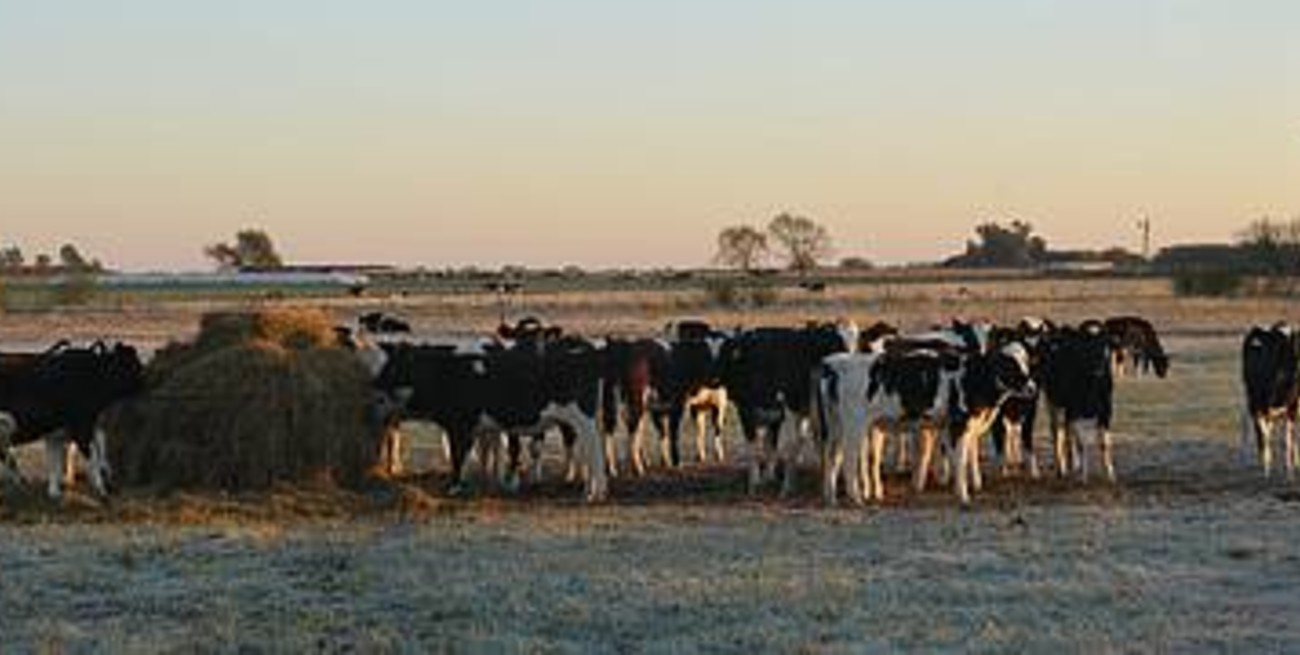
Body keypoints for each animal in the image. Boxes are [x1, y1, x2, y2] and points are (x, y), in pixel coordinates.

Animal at [0, 341, 145, 499]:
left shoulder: (57, 433)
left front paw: (54, 492)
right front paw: (102, 490)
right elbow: (92, 457)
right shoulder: (82, 428)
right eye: (131, 365)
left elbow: (54, 461)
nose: (145, 383)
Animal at [374, 335, 608, 501]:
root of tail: (583, 355)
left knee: (594, 450)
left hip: (583, 419)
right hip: (583, 421)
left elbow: (458, 455)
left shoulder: (459, 425)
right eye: (388, 362)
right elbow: (476, 453)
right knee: (590, 450)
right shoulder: (474, 427)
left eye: (395, 365)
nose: (375, 382)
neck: (447, 372)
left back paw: (594, 494)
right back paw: (592, 490)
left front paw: (454, 487)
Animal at [719, 320, 858, 496]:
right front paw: (785, 487)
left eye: (856, 340)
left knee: (770, 441)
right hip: (747, 408)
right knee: (754, 442)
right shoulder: (791, 407)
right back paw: (755, 481)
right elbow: (793, 443)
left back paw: (768, 477)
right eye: (835, 340)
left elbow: (814, 442)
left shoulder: (811, 412)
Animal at [817, 340, 1034, 506]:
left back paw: (830, 497)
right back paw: (856, 498)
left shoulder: (950, 426)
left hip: (835, 426)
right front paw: (964, 496)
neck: (970, 375)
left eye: (1026, 361)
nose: (1032, 387)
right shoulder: (959, 423)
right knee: (848, 458)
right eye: (1009, 364)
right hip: (854, 426)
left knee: (832, 456)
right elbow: (960, 459)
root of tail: (833, 363)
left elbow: (958, 458)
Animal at [1240, 323, 1300, 479]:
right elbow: (1264, 437)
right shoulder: (1260, 406)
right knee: (1261, 432)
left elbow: (1289, 439)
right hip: (1254, 401)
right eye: (1283, 347)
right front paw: (1266, 470)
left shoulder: (1292, 407)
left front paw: (1290, 469)